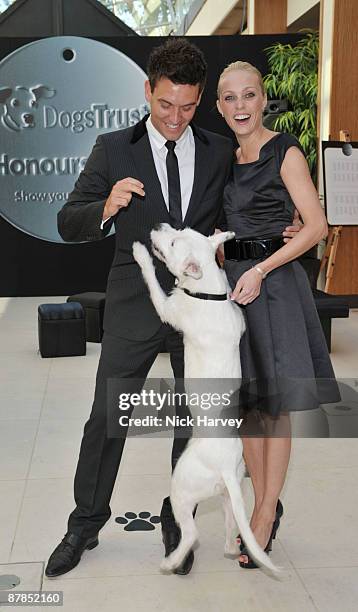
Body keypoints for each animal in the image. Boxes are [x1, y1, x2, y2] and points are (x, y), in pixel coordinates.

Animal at [133, 225, 278, 572]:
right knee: (228, 530)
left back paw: (171, 561)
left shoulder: (167, 309)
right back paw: (232, 548)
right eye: (180, 230)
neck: (209, 292)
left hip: (181, 488)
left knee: (191, 534)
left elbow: (153, 280)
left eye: (173, 242)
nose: (159, 226)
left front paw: (140, 253)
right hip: (229, 495)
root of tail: (224, 465)